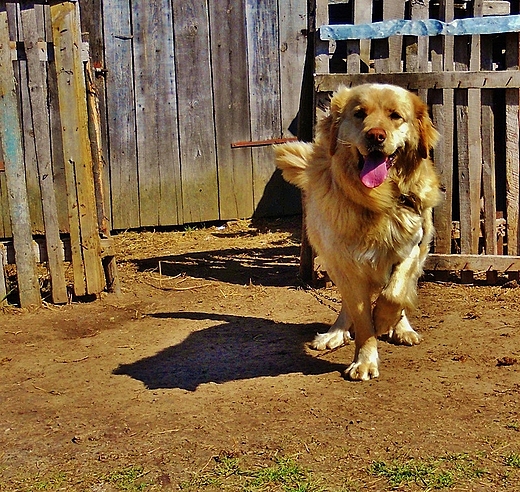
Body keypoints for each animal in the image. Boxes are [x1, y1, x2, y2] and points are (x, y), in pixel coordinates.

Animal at [274, 84, 440, 380]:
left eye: (396, 116)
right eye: (359, 114)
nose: (376, 135)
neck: (377, 201)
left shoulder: (412, 244)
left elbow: (394, 293)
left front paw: (385, 320)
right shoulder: (347, 264)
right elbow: (361, 318)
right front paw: (364, 360)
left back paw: (402, 328)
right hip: (331, 262)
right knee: (346, 305)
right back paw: (336, 332)